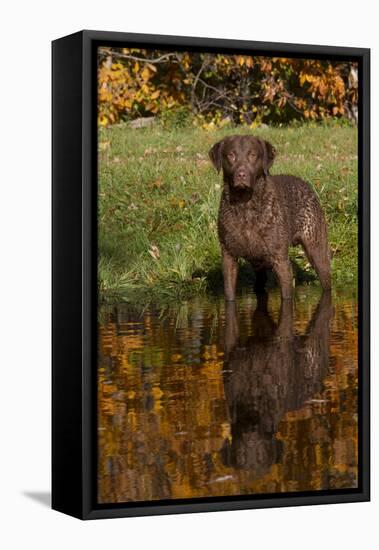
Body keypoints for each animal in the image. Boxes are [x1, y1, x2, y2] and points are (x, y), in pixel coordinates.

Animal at [209, 137, 332, 302]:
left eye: (253, 154)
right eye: (231, 155)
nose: (241, 175)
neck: (245, 206)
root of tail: (306, 184)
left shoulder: (281, 261)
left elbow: (287, 297)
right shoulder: (228, 257)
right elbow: (229, 296)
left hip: (317, 250)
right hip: (259, 264)